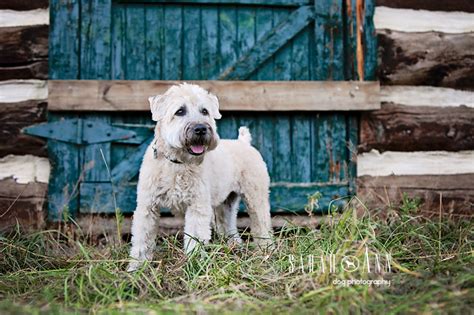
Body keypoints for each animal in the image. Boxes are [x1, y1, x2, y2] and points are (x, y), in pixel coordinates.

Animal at [128, 82, 272, 270]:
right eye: (180, 111)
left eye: (205, 111)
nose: (201, 129)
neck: (177, 163)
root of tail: (244, 142)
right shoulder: (147, 206)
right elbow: (142, 239)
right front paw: (136, 268)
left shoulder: (197, 206)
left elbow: (194, 239)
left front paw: (194, 265)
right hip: (226, 204)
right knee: (229, 226)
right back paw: (234, 247)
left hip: (256, 197)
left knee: (262, 224)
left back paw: (266, 251)